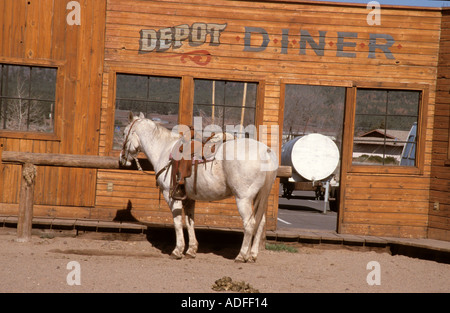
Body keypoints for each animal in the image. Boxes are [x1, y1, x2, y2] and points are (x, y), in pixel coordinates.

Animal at [121, 112, 280, 260]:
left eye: (124, 133)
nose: (122, 159)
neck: (164, 150)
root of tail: (266, 151)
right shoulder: (188, 198)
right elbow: (190, 221)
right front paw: (191, 250)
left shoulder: (170, 195)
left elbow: (177, 222)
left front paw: (177, 250)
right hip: (260, 197)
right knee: (260, 223)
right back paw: (252, 254)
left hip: (243, 199)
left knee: (250, 223)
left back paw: (241, 255)